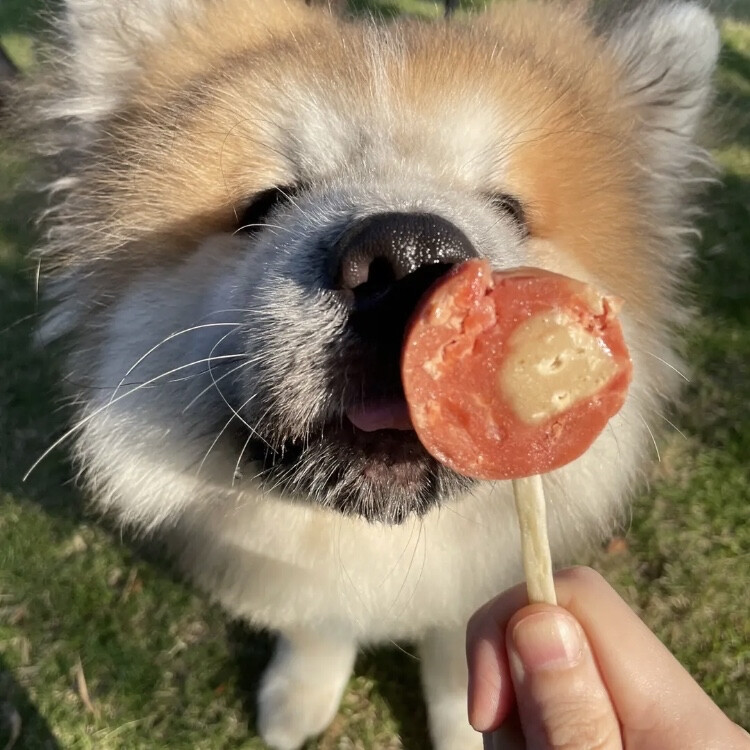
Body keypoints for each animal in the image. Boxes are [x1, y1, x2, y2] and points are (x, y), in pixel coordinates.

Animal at [20, 2, 720, 748]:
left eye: (509, 208)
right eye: (265, 205)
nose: (406, 255)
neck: (380, 548)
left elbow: (456, 667)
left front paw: (464, 727)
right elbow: (316, 631)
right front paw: (298, 698)